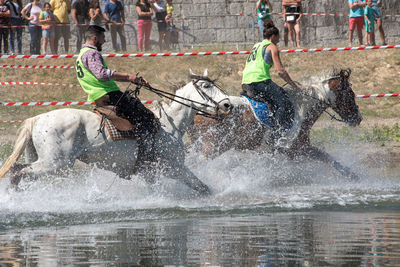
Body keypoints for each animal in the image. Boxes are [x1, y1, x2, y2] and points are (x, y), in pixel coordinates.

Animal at [0, 70, 231, 197]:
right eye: (206, 86)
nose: (228, 105)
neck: (168, 124)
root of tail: (36, 119)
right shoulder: (174, 167)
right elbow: (203, 188)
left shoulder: (149, 173)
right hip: (55, 163)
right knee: (18, 173)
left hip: (41, 160)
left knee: (19, 172)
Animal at [187, 69, 362, 181]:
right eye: (350, 94)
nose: (358, 118)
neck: (300, 109)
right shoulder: (293, 151)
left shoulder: (301, 148)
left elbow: (329, 159)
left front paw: (354, 176)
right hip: (212, 148)